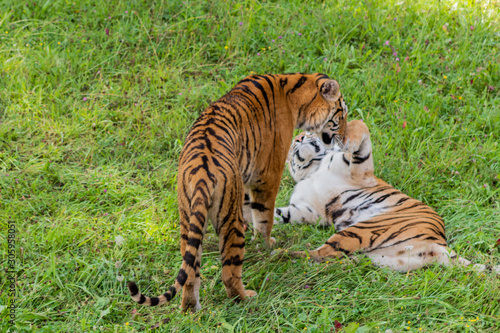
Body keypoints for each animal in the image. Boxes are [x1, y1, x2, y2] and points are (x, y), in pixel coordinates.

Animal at [127, 73, 346, 312]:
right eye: (342, 114)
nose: (344, 136)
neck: (293, 87)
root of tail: (202, 175)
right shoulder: (266, 176)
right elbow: (264, 217)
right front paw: (264, 244)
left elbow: (252, 210)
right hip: (229, 222)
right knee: (229, 273)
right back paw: (246, 297)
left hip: (189, 221)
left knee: (190, 273)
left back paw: (190, 309)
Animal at [276, 119, 498, 272]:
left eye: (308, 132)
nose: (298, 138)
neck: (313, 169)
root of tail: (439, 243)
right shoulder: (308, 211)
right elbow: (280, 214)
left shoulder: (360, 171)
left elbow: (360, 125)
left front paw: (346, 140)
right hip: (380, 258)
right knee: (329, 257)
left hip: (364, 228)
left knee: (322, 253)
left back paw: (280, 255)